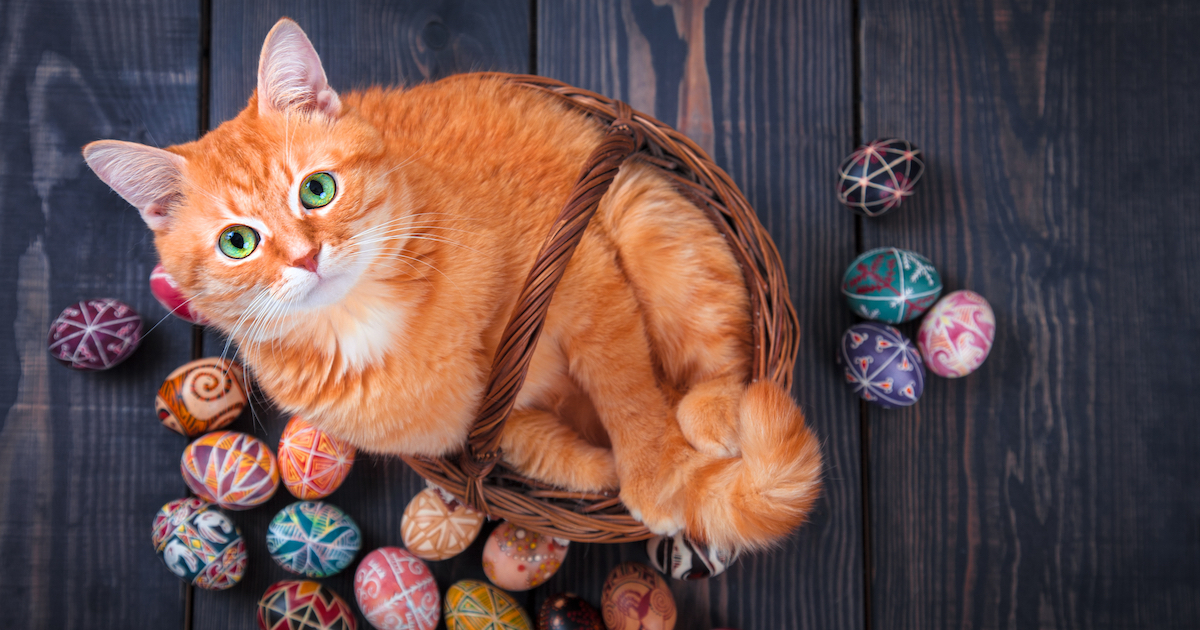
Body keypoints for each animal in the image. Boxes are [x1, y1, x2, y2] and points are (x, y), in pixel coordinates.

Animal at [82, 18, 816, 549]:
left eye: (317, 189)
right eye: (238, 242)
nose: (306, 256)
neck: (366, 318)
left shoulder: (580, 276)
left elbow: (628, 389)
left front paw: (655, 473)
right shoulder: (466, 428)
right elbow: (523, 442)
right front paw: (597, 471)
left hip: (654, 224)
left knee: (725, 352)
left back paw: (712, 409)